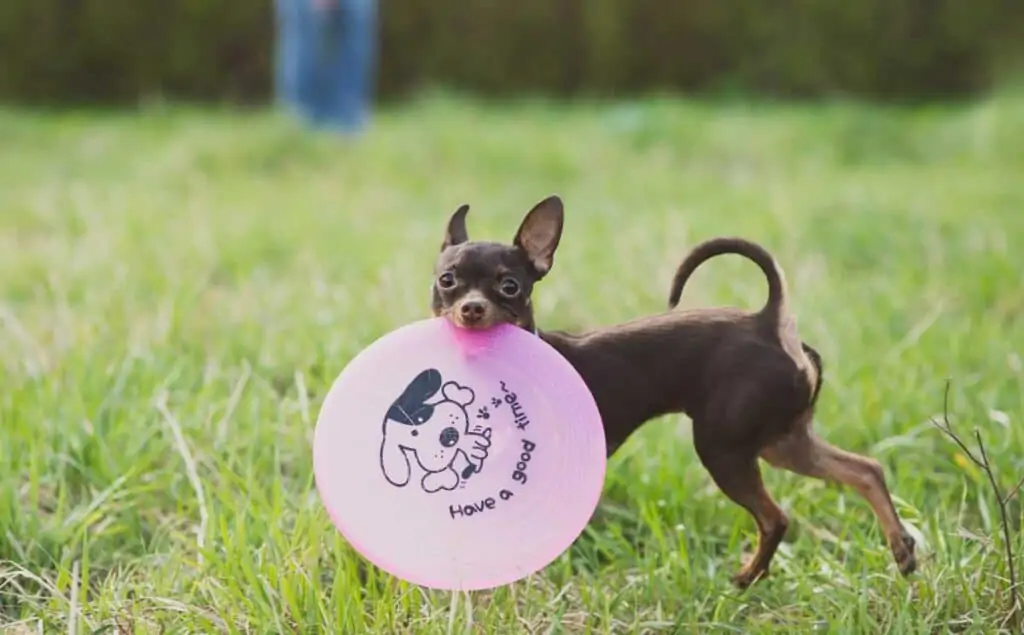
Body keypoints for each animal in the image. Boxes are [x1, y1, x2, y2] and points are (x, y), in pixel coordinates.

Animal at [428, 195, 917, 585]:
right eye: (446, 281)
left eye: (510, 286)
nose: (472, 308)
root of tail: (769, 322)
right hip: (783, 441)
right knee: (865, 470)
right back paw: (901, 548)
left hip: (723, 446)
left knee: (776, 518)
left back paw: (746, 578)